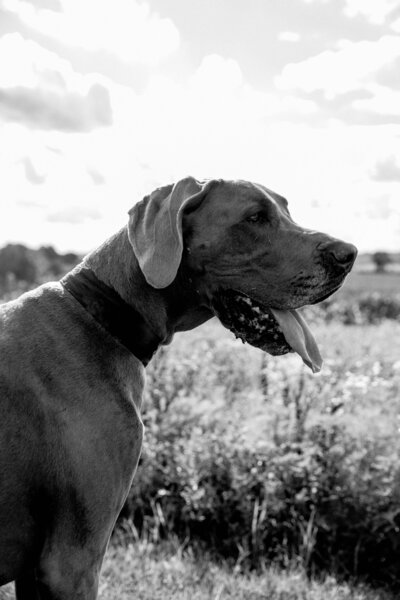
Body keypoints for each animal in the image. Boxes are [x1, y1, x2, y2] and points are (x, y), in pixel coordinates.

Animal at [0, 176, 356, 596]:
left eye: (288, 210)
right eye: (255, 217)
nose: (349, 254)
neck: (104, 318)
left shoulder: (37, 570)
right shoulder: (71, 562)